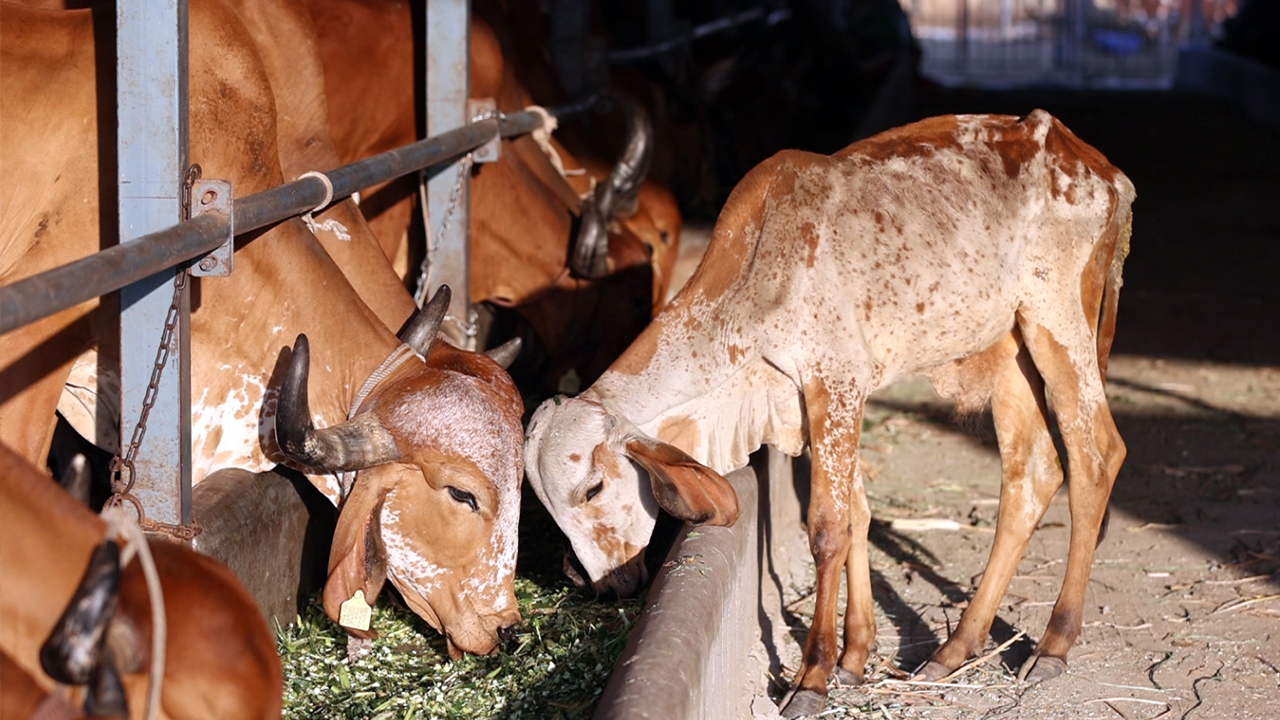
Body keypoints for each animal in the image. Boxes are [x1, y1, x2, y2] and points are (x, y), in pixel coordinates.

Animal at [524, 111, 1134, 716]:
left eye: (593, 489)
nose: (595, 583)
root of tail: (1103, 171)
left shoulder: (835, 380)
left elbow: (826, 528)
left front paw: (813, 674)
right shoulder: (823, 399)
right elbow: (857, 518)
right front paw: (853, 658)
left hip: (1058, 325)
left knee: (1096, 459)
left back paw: (1053, 644)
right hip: (1011, 350)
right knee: (1032, 475)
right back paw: (954, 648)